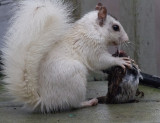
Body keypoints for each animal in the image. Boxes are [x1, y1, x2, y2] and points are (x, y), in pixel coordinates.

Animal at [1, 0, 131, 113]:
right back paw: (88, 102)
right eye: (115, 27)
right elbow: (101, 61)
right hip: (75, 79)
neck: (94, 29)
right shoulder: (92, 47)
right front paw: (120, 61)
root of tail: (45, 101)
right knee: (73, 104)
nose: (127, 39)